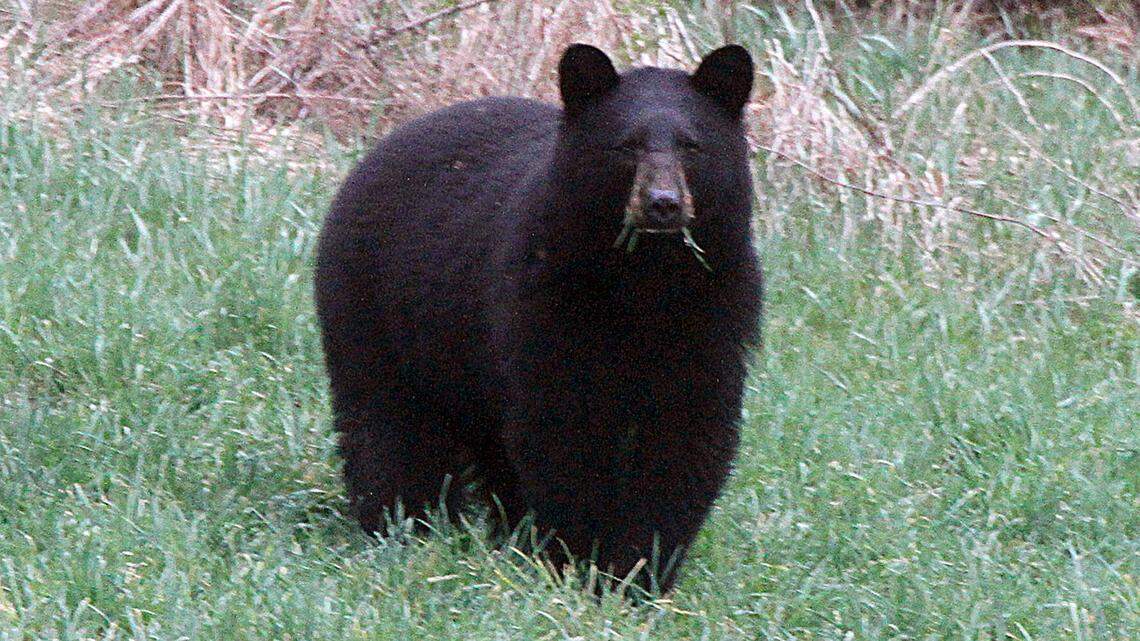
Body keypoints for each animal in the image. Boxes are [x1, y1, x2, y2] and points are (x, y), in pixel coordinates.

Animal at [314, 43, 763, 593]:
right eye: (626, 146)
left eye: (693, 147)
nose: (662, 204)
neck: (644, 282)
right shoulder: (546, 304)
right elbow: (560, 432)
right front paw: (576, 561)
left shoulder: (714, 314)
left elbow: (686, 439)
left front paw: (640, 572)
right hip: (375, 307)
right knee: (387, 424)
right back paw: (403, 524)